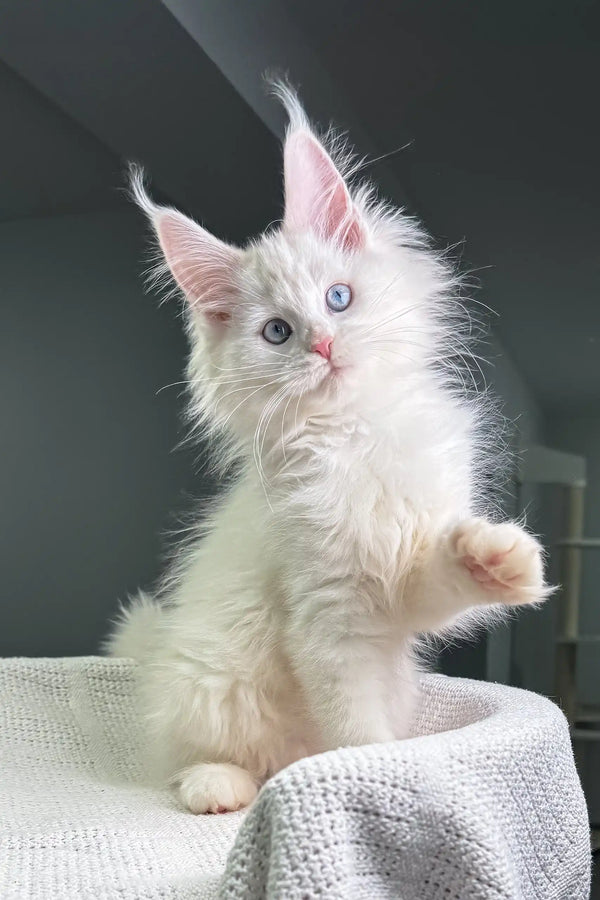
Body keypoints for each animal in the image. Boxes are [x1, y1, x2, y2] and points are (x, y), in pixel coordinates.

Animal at [106, 86, 548, 816]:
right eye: (277, 333)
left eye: (338, 298)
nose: (322, 344)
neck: (357, 435)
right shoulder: (330, 616)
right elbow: (356, 726)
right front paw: (369, 776)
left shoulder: (401, 598)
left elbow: (442, 575)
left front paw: (493, 555)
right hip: (209, 678)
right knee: (201, 755)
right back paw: (220, 786)